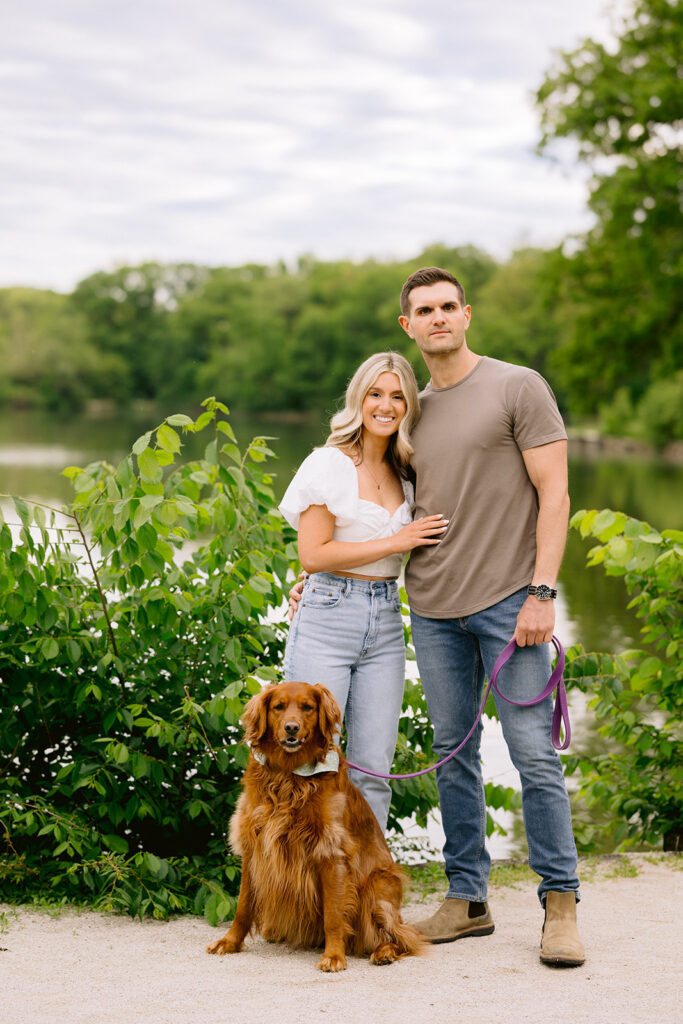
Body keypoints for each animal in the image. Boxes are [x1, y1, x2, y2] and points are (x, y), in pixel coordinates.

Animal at [206, 680, 425, 971]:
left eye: (307, 707)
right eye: (278, 707)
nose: (291, 727)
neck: (289, 774)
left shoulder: (330, 851)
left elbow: (333, 915)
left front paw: (333, 955)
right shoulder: (254, 846)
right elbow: (243, 906)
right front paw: (229, 942)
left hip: (376, 888)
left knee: (400, 935)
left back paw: (384, 952)